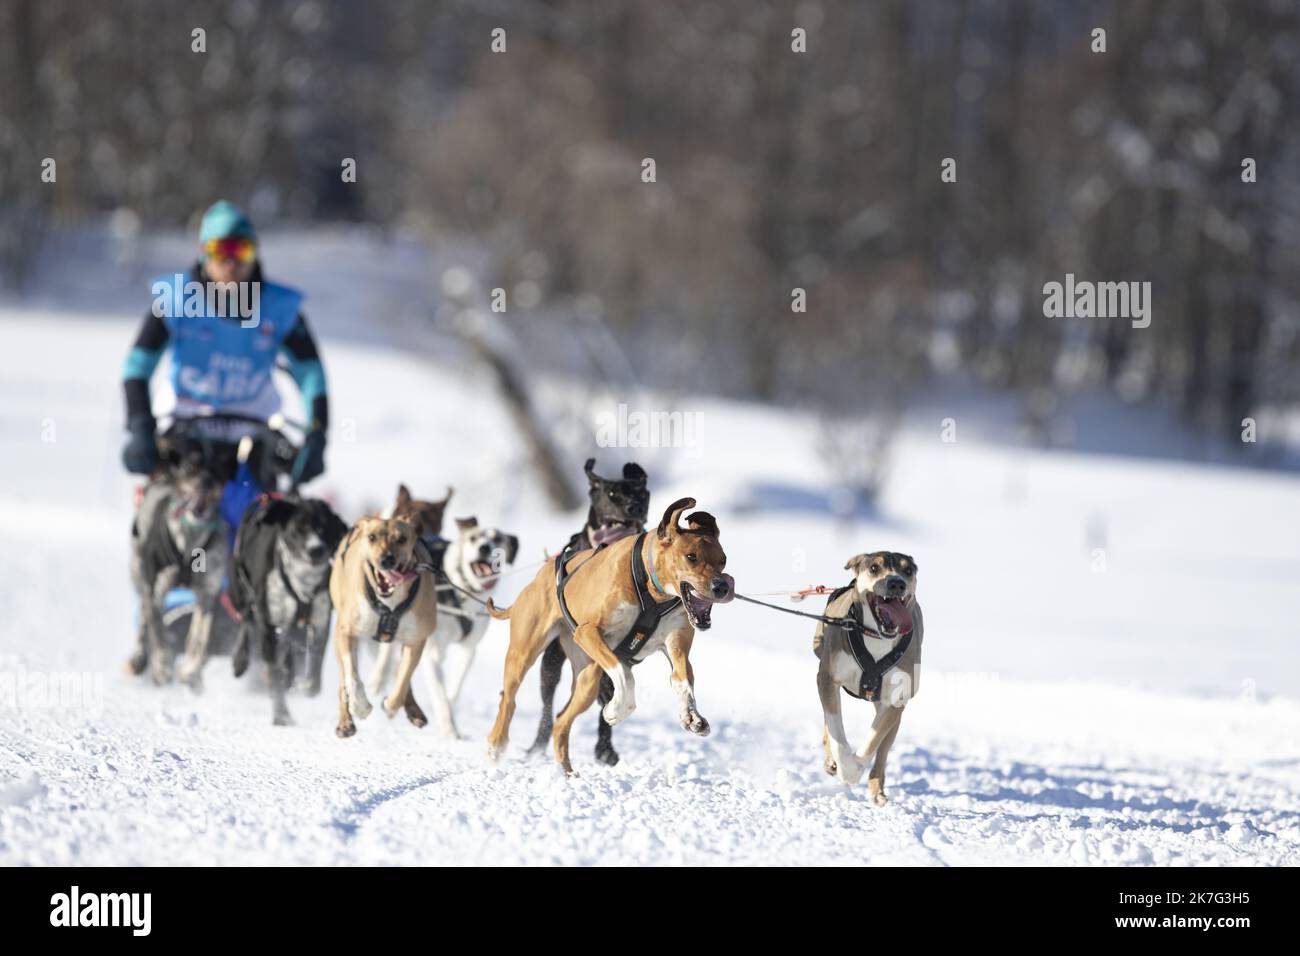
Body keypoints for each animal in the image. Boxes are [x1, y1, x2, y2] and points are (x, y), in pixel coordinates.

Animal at [327, 515, 439, 738]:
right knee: (344, 680)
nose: (387, 559)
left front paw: (390, 705)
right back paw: (345, 722)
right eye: (372, 537)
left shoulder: (416, 640)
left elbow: (403, 681)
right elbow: (352, 677)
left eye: (402, 539)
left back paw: (414, 710)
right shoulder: (346, 632)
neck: (389, 604)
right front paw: (360, 707)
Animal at [486, 496, 733, 775]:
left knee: (561, 721)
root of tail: (538, 577)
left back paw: (567, 772)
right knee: (508, 700)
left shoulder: (676, 645)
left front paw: (691, 716)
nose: (722, 586)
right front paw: (616, 710)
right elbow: (624, 675)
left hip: (587, 679)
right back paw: (495, 748)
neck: (652, 590)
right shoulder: (589, 632)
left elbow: (682, 680)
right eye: (691, 557)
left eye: (723, 560)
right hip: (526, 654)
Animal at [527, 460, 650, 764]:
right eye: (612, 494)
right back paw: (538, 744)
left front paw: (605, 747)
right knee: (548, 701)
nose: (634, 508)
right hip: (551, 659)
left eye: (641, 493)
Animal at [811, 548, 925, 806]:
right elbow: (835, 728)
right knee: (827, 725)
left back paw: (877, 790)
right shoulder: (827, 678)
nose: (896, 583)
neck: (875, 637)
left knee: (882, 752)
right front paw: (844, 766)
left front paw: (853, 770)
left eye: (908, 570)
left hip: (893, 713)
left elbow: (873, 739)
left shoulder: (895, 700)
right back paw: (832, 761)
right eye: (874, 568)